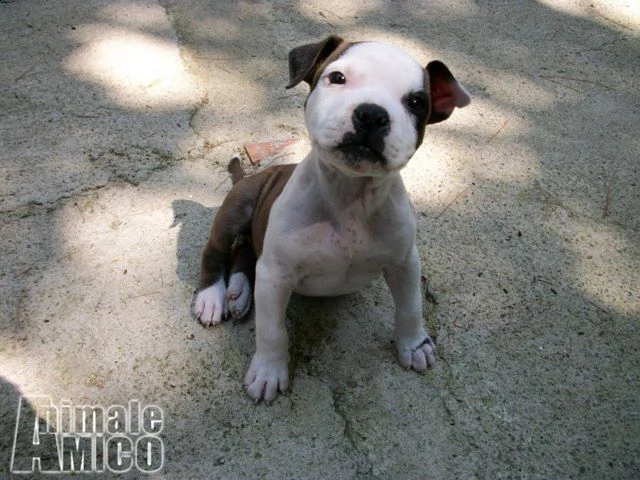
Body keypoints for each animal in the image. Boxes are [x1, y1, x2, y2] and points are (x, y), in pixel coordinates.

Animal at [192, 35, 468, 402]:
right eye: (337, 78)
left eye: (416, 102)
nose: (372, 114)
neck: (350, 195)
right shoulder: (277, 273)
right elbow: (271, 329)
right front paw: (268, 371)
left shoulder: (405, 261)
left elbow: (411, 305)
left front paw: (414, 344)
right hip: (240, 206)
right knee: (218, 249)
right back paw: (213, 296)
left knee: (246, 251)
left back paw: (239, 290)